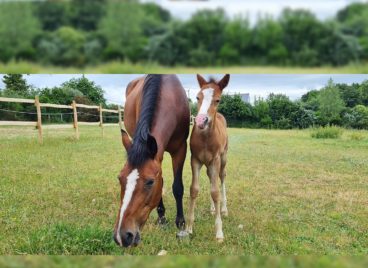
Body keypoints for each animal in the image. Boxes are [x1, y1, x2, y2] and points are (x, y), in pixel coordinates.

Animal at [113, 75, 190, 247]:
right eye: (120, 178)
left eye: (149, 182)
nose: (122, 236)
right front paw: (161, 218)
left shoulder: (180, 149)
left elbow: (177, 187)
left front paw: (180, 222)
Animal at [187, 74, 230, 243]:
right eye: (197, 97)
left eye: (217, 100)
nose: (200, 121)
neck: (205, 138)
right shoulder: (195, 160)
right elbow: (194, 189)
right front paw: (188, 228)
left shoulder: (216, 160)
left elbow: (215, 191)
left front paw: (219, 232)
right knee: (211, 178)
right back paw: (213, 208)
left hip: (223, 159)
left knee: (221, 178)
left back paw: (223, 209)